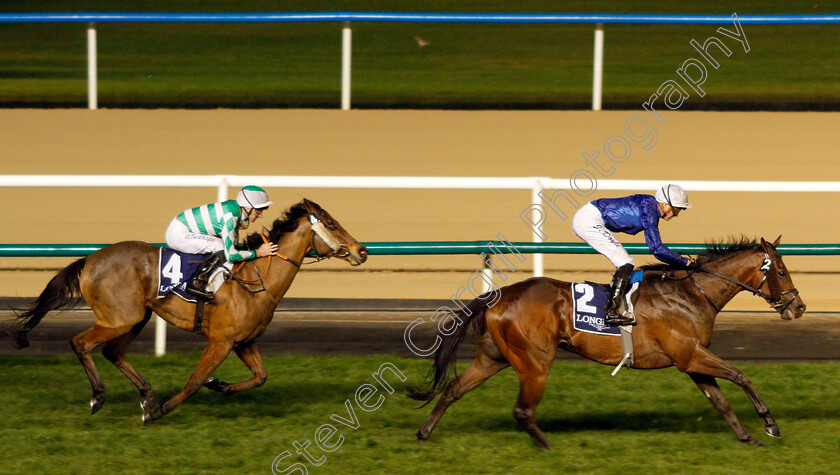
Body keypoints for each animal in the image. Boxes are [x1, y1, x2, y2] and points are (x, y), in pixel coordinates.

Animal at [11, 199, 368, 422]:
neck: (257, 280)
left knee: (112, 352)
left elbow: (260, 376)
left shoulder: (244, 342)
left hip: (137, 317)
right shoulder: (221, 342)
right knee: (81, 343)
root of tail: (90, 259)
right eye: (332, 225)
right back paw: (100, 396)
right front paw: (158, 412)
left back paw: (146, 393)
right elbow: (195, 381)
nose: (361, 251)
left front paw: (220, 385)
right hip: (119, 318)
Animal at [412, 238, 808, 450]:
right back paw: (546, 446)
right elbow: (741, 376)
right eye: (782, 271)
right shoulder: (690, 355)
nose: (799, 307)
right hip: (535, 361)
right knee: (522, 410)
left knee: (453, 390)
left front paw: (747, 437)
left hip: (493, 357)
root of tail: (496, 296)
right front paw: (770, 424)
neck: (691, 293)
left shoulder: (691, 359)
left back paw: (424, 433)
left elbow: (720, 401)